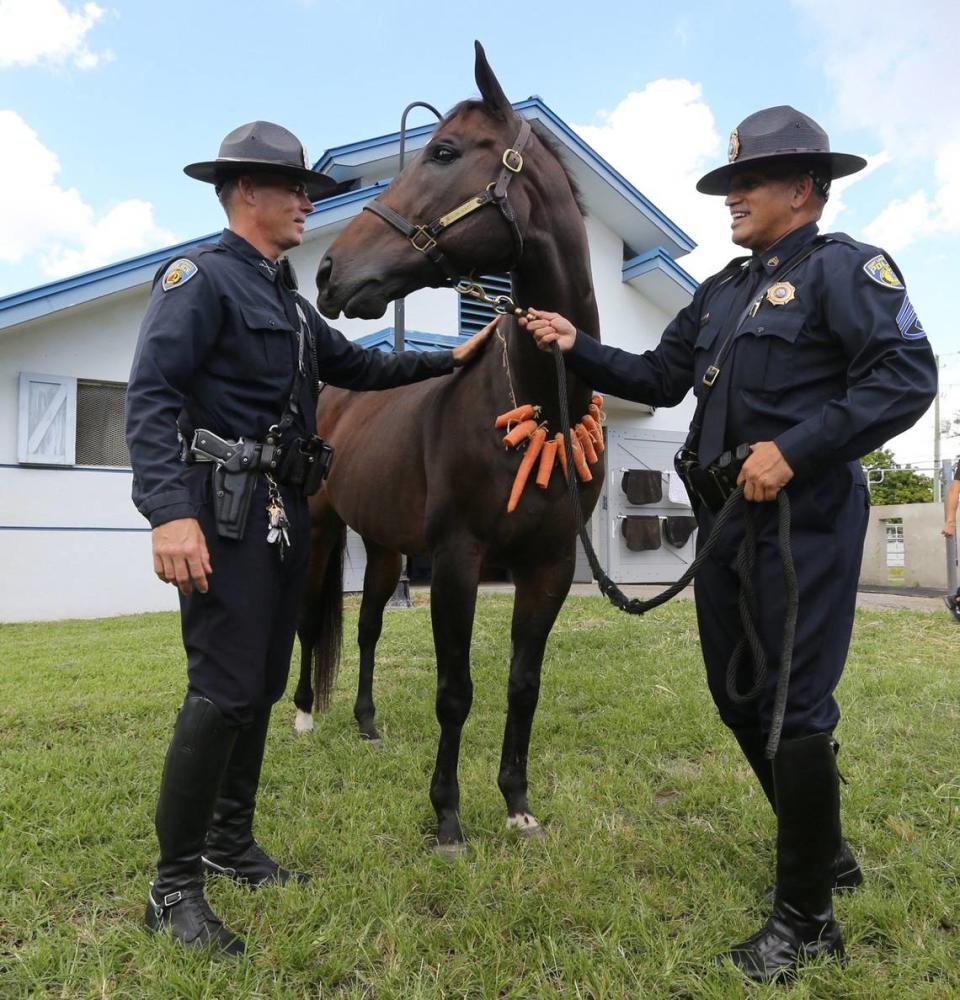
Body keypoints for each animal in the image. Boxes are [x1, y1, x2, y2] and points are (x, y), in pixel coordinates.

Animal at [296, 41, 604, 852]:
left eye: (442, 152)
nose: (329, 272)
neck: (538, 398)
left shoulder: (550, 567)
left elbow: (522, 685)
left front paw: (517, 804)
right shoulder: (459, 560)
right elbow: (455, 690)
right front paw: (447, 817)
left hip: (384, 548)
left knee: (368, 626)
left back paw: (367, 724)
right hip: (320, 529)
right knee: (309, 620)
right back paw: (304, 713)